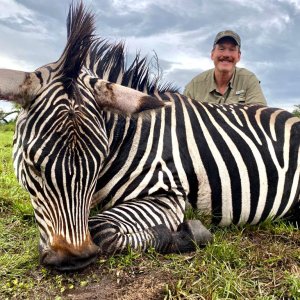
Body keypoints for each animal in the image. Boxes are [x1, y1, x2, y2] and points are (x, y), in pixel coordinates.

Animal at [0, 2, 298, 270]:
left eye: (98, 162)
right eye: (32, 166)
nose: (73, 259)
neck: (128, 138)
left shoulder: (169, 193)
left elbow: (103, 229)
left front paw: (190, 233)